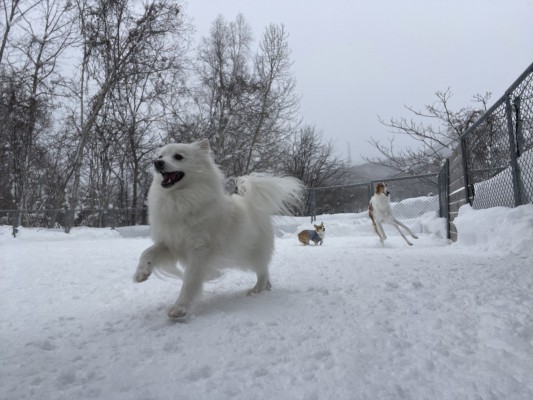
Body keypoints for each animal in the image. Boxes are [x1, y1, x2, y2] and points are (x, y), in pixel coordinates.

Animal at [133, 140, 304, 318]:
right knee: (265, 270)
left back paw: (256, 290)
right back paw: (267, 287)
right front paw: (141, 273)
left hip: (250, 253)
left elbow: (190, 280)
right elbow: (147, 252)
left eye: (178, 156)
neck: (180, 197)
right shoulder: (171, 243)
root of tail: (252, 204)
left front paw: (180, 308)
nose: (157, 163)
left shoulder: (200, 250)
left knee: (262, 270)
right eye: (160, 156)